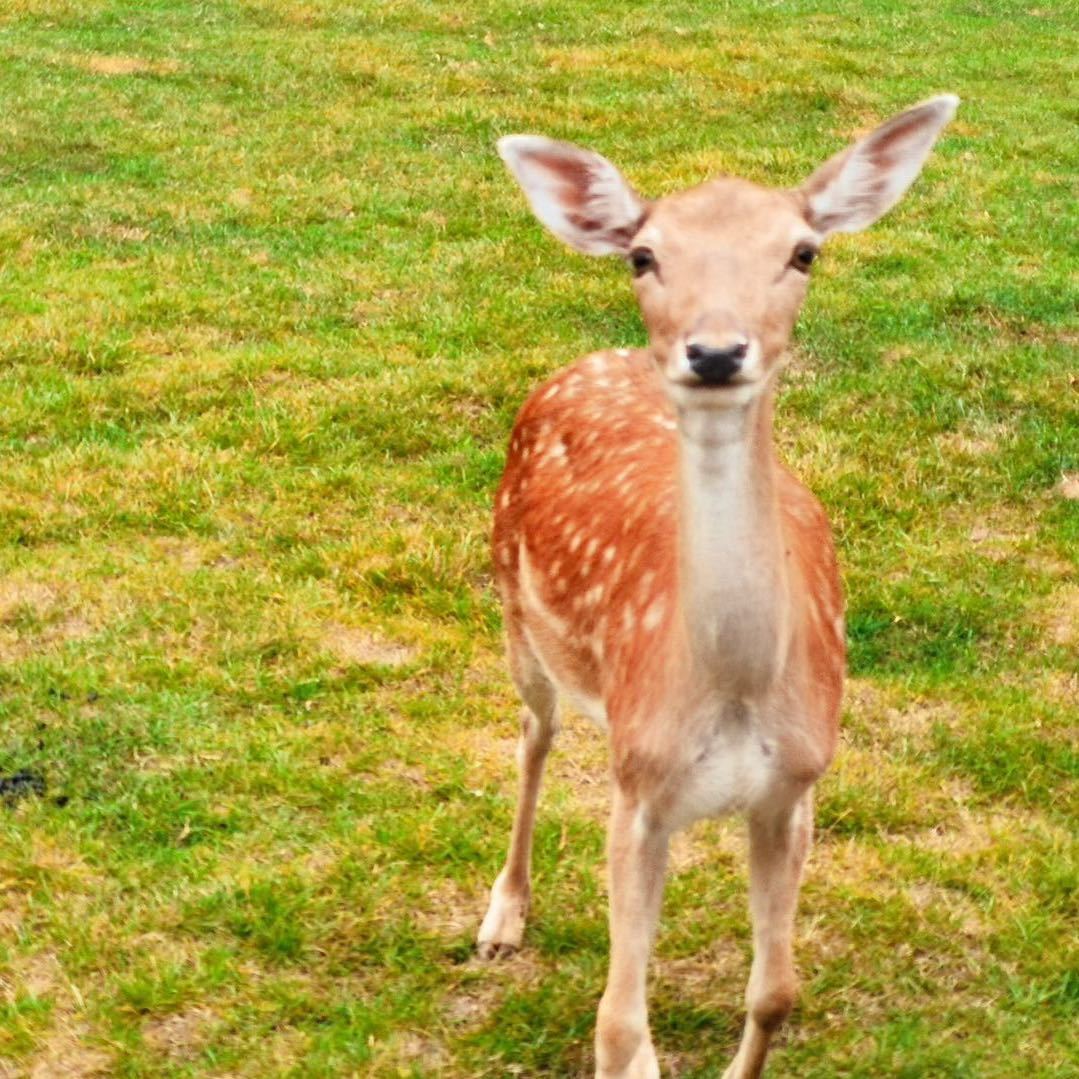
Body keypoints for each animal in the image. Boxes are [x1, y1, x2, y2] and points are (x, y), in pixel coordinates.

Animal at [476, 97, 958, 1074]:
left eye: (803, 251)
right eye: (642, 254)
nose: (713, 350)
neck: (732, 691)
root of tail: (587, 361)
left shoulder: (794, 787)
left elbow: (774, 993)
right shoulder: (639, 795)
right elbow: (618, 1024)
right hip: (511, 601)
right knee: (532, 735)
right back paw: (502, 915)